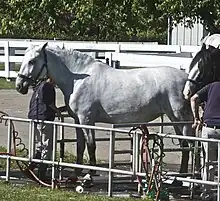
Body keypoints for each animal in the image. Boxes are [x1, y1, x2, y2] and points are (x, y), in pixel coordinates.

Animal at [15, 43, 193, 174]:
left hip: (181, 120)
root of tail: (187, 79)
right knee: (185, 145)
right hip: (176, 121)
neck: (78, 78)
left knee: (187, 146)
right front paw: (77, 172)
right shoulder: (77, 120)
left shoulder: (87, 119)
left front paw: (90, 173)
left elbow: (91, 145)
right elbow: (80, 146)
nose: (19, 86)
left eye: (32, 61)